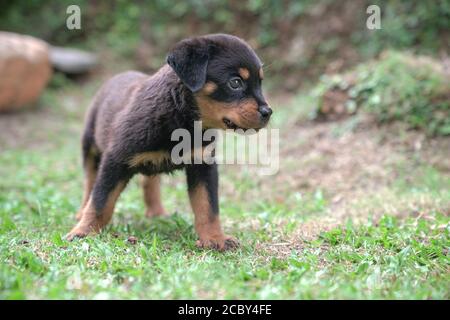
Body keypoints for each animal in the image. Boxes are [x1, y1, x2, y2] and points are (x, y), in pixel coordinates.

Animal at [66, 34, 270, 250]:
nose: (268, 112)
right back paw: (81, 213)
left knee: (150, 181)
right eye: (235, 82)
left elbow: (208, 206)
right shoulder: (115, 159)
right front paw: (83, 232)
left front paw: (215, 239)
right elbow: (100, 200)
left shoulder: (203, 164)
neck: (180, 118)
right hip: (90, 145)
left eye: (260, 83)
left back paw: (156, 213)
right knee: (90, 181)